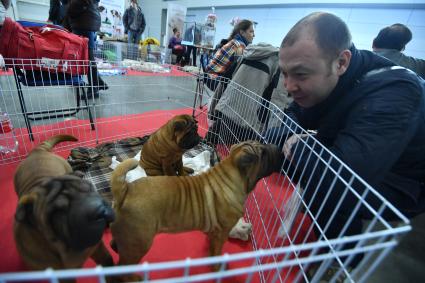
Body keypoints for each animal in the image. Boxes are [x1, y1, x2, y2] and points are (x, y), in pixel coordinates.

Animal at [13, 135, 114, 272]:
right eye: (59, 213)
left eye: (90, 189)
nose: (99, 209)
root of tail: (37, 151)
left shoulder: (98, 248)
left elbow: (107, 260)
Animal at [111, 141, 280, 282]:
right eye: (263, 153)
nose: (277, 148)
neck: (230, 176)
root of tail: (125, 191)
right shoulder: (222, 233)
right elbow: (217, 251)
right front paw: (217, 267)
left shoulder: (214, 231)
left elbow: (212, 246)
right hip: (139, 242)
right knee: (122, 267)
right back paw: (134, 278)